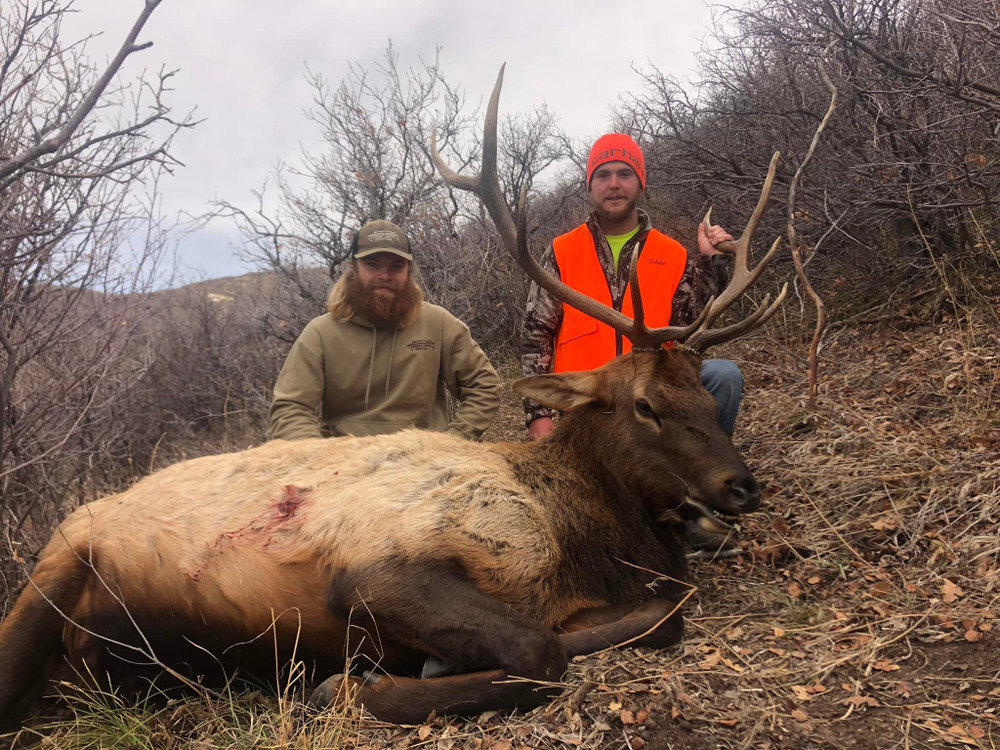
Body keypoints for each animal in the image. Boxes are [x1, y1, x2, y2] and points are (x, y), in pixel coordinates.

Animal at [0, 67, 780, 724]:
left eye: (703, 395)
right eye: (643, 404)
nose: (742, 487)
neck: (580, 542)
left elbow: (661, 612)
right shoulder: (381, 568)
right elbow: (542, 652)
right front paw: (352, 686)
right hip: (54, 571)